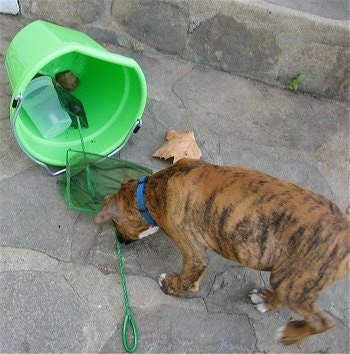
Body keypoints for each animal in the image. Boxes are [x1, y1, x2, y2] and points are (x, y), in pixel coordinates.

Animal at [94, 158, 348, 346]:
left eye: (116, 226)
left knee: (323, 321)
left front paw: (171, 286)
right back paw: (265, 299)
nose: (120, 241)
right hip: (289, 279)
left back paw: (289, 334)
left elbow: (187, 275)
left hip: (296, 280)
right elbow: (194, 276)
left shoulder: (193, 251)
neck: (153, 191)